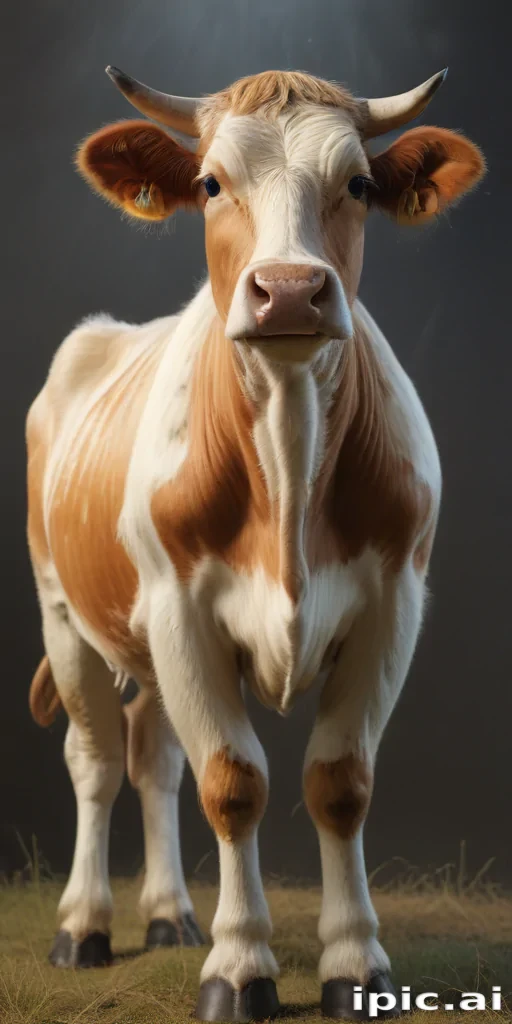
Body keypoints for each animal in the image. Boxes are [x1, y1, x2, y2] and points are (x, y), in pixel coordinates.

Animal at [26, 65, 484, 1021]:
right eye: (209, 184)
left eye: (358, 185)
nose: (291, 289)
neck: (288, 438)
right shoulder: (181, 611)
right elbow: (233, 783)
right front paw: (240, 966)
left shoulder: (393, 607)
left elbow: (339, 783)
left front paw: (353, 962)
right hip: (64, 609)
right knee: (96, 761)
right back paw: (84, 926)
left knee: (153, 755)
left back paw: (170, 917)